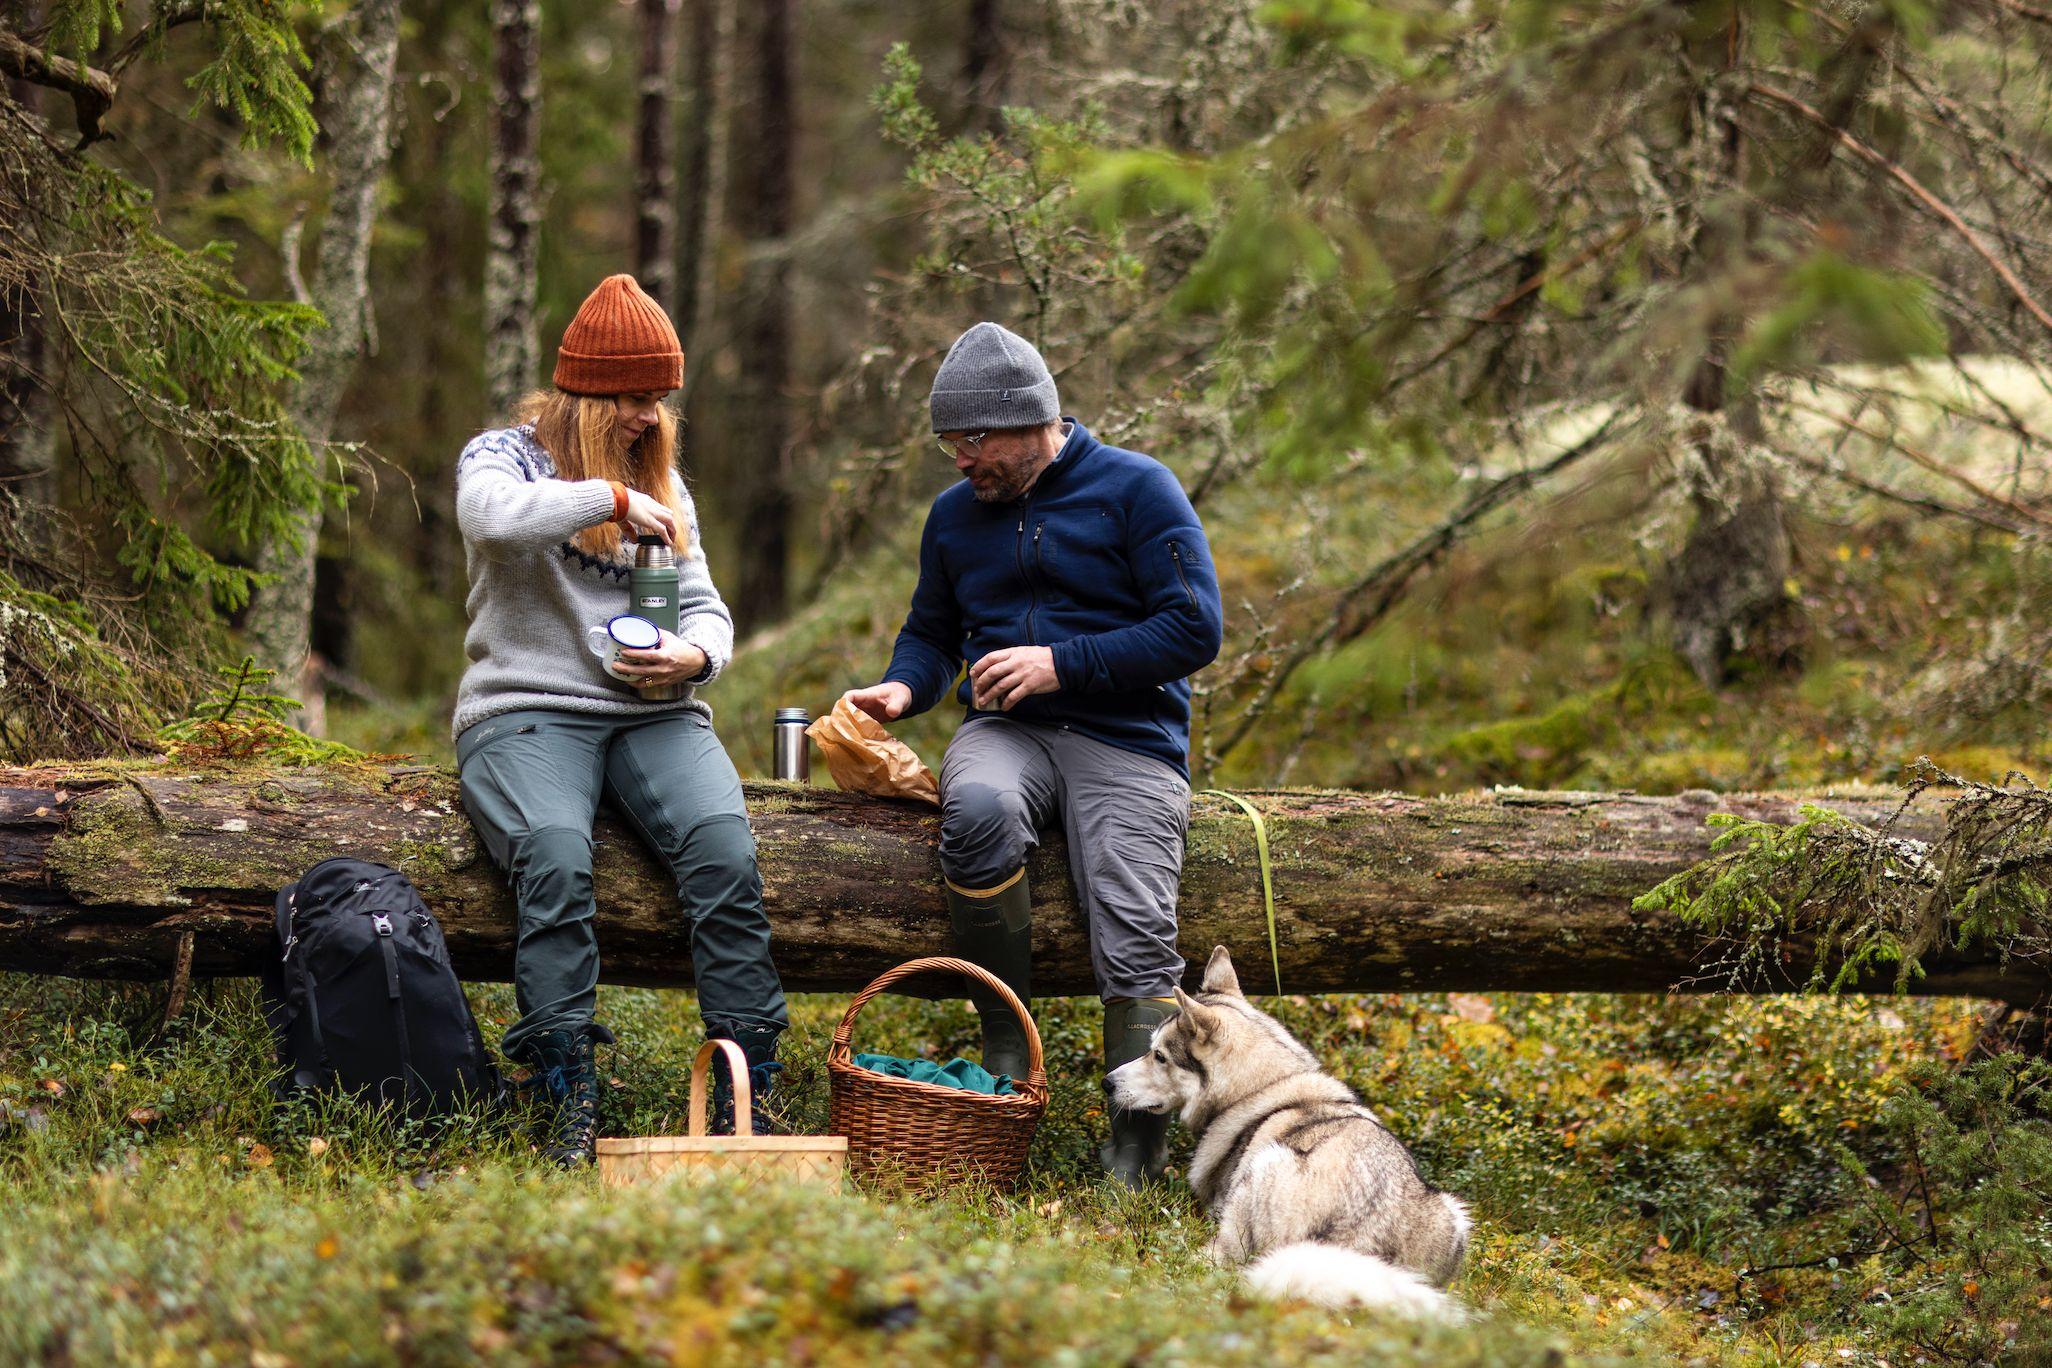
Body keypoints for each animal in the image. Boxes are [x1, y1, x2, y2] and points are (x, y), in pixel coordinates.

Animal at [1116, 947, 1469, 1320]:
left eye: (1159, 1056)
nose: (1107, 1082)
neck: (1263, 1087)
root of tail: (1351, 1241)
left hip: (1266, 1164)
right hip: (1455, 1214)